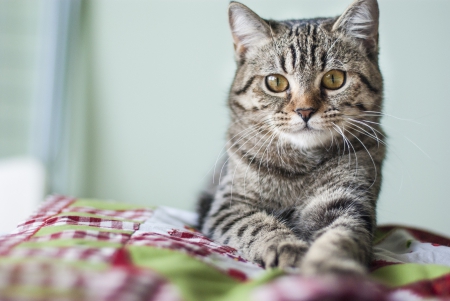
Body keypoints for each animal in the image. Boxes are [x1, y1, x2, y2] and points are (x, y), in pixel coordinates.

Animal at [197, 0, 384, 274]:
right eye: (275, 82)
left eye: (334, 79)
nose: (305, 111)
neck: (299, 167)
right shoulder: (229, 205)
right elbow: (256, 225)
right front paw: (286, 246)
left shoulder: (348, 199)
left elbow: (343, 236)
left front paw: (332, 267)